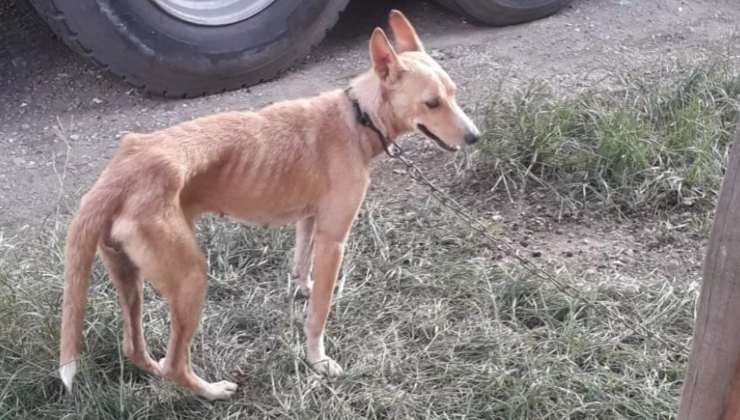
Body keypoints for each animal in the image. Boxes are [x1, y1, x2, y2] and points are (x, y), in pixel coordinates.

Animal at [62, 8, 480, 398]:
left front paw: (301, 289)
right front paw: (318, 361)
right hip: (190, 278)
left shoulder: (309, 221)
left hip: (129, 277)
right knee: (175, 365)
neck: (357, 116)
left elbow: (301, 266)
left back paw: (151, 368)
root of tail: (121, 172)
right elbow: (318, 316)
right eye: (431, 103)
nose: (475, 137)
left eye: (454, 94)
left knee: (136, 348)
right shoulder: (334, 241)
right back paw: (211, 392)